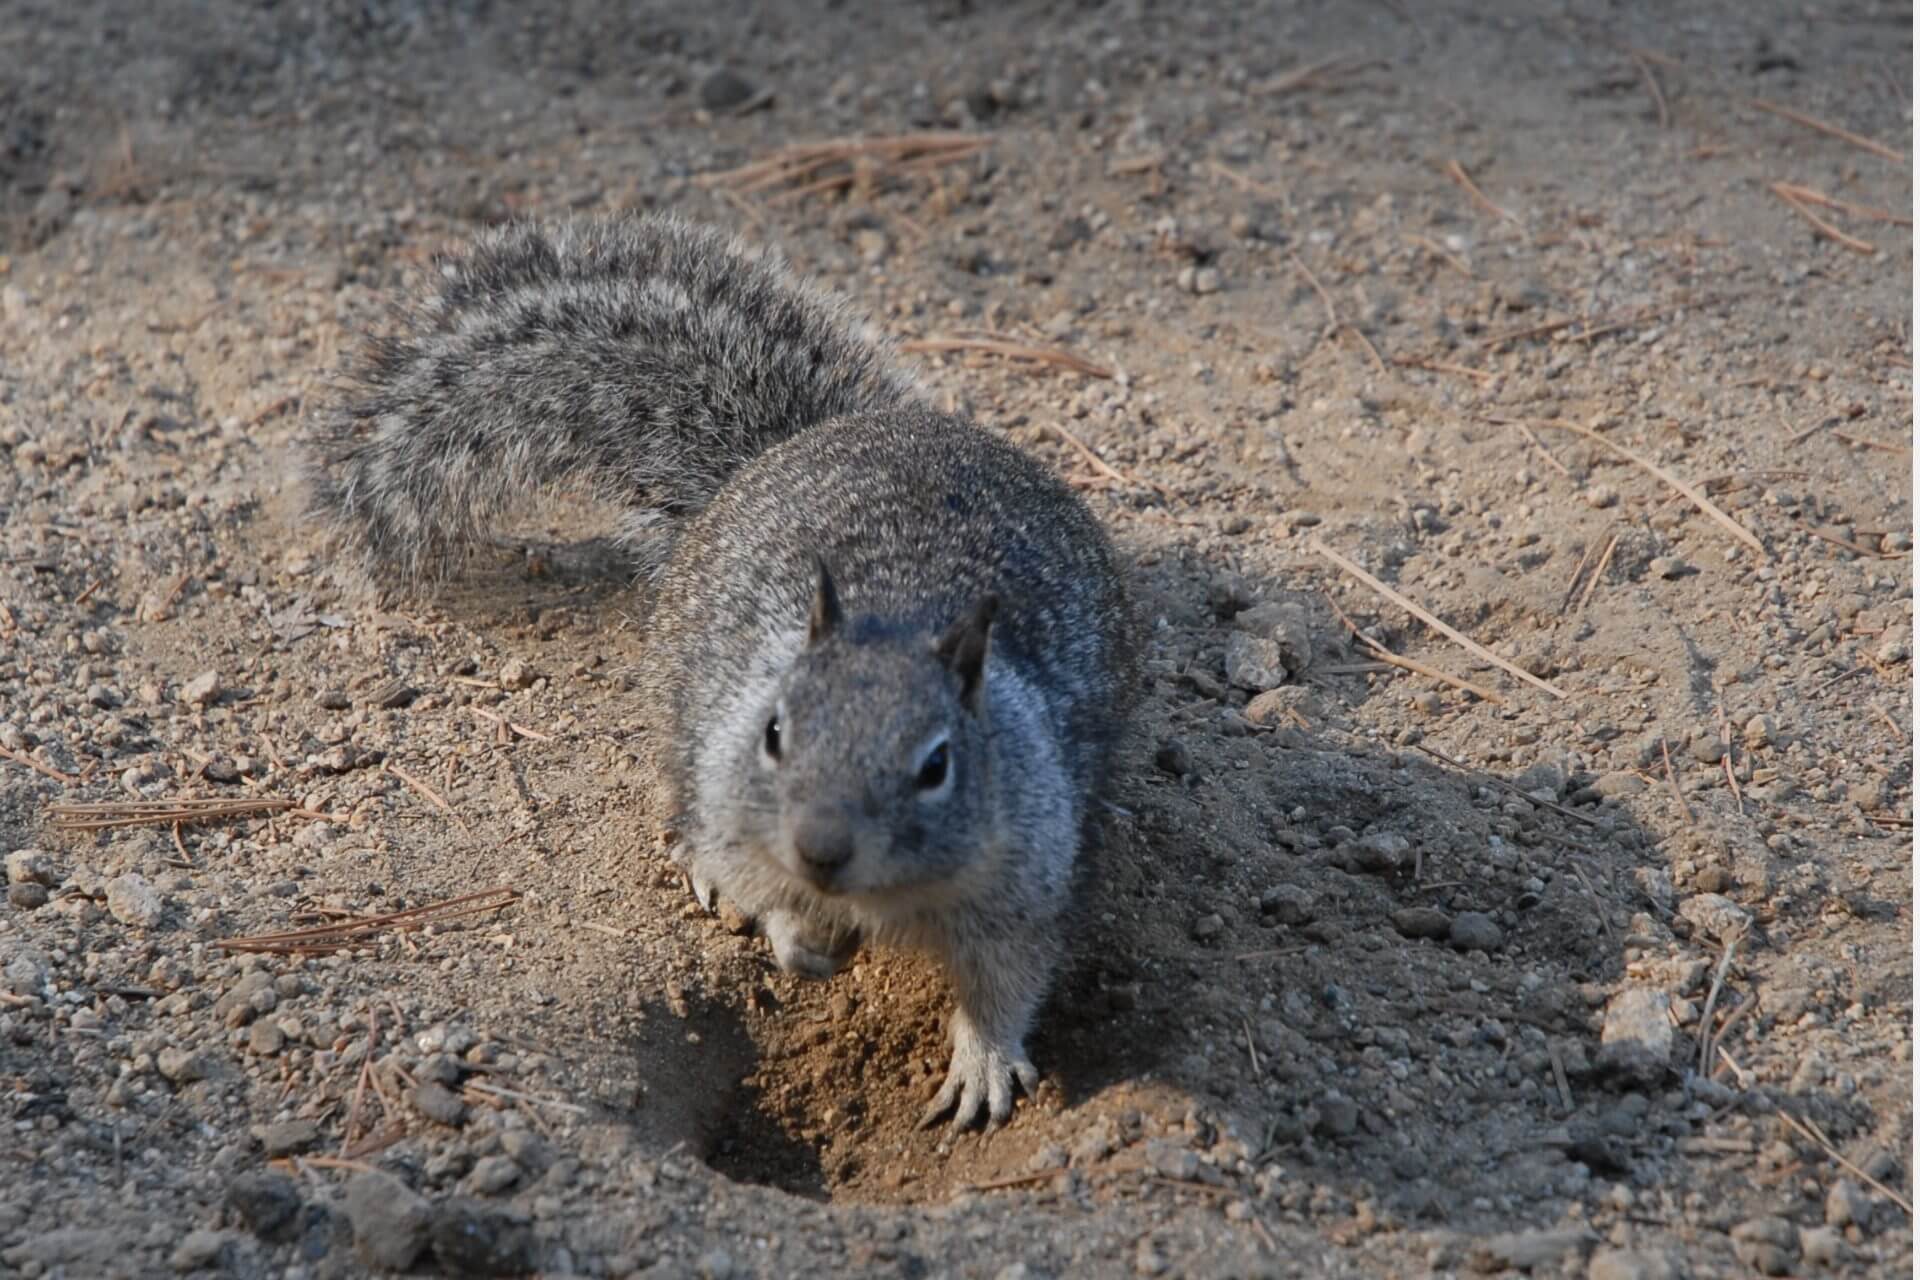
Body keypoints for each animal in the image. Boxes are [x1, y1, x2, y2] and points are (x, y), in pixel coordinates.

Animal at [305, 213, 1128, 1128]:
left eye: (937, 765)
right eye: (774, 732)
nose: (819, 850)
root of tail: (808, 440)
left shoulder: (1027, 869)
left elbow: (1006, 981)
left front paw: (982, 1061)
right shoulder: (734, 785)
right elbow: (753, 874)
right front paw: (794, 936)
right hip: (684, 715)